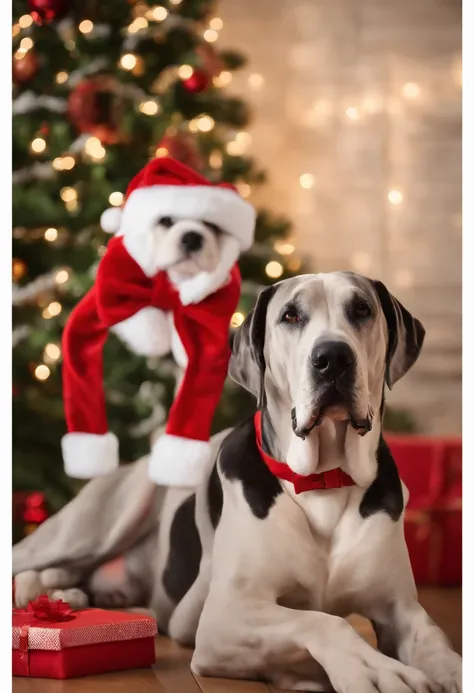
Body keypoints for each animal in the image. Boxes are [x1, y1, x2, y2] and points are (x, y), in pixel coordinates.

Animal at [13, 274, 460, 688]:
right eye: (290, 315)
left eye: (362, 310)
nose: (332, 357)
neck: (324, 482)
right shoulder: (223, 617)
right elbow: (322, 621)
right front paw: (369, 670)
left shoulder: (402, 610)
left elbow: (437, 645)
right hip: (105, 520)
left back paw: (62, 593)